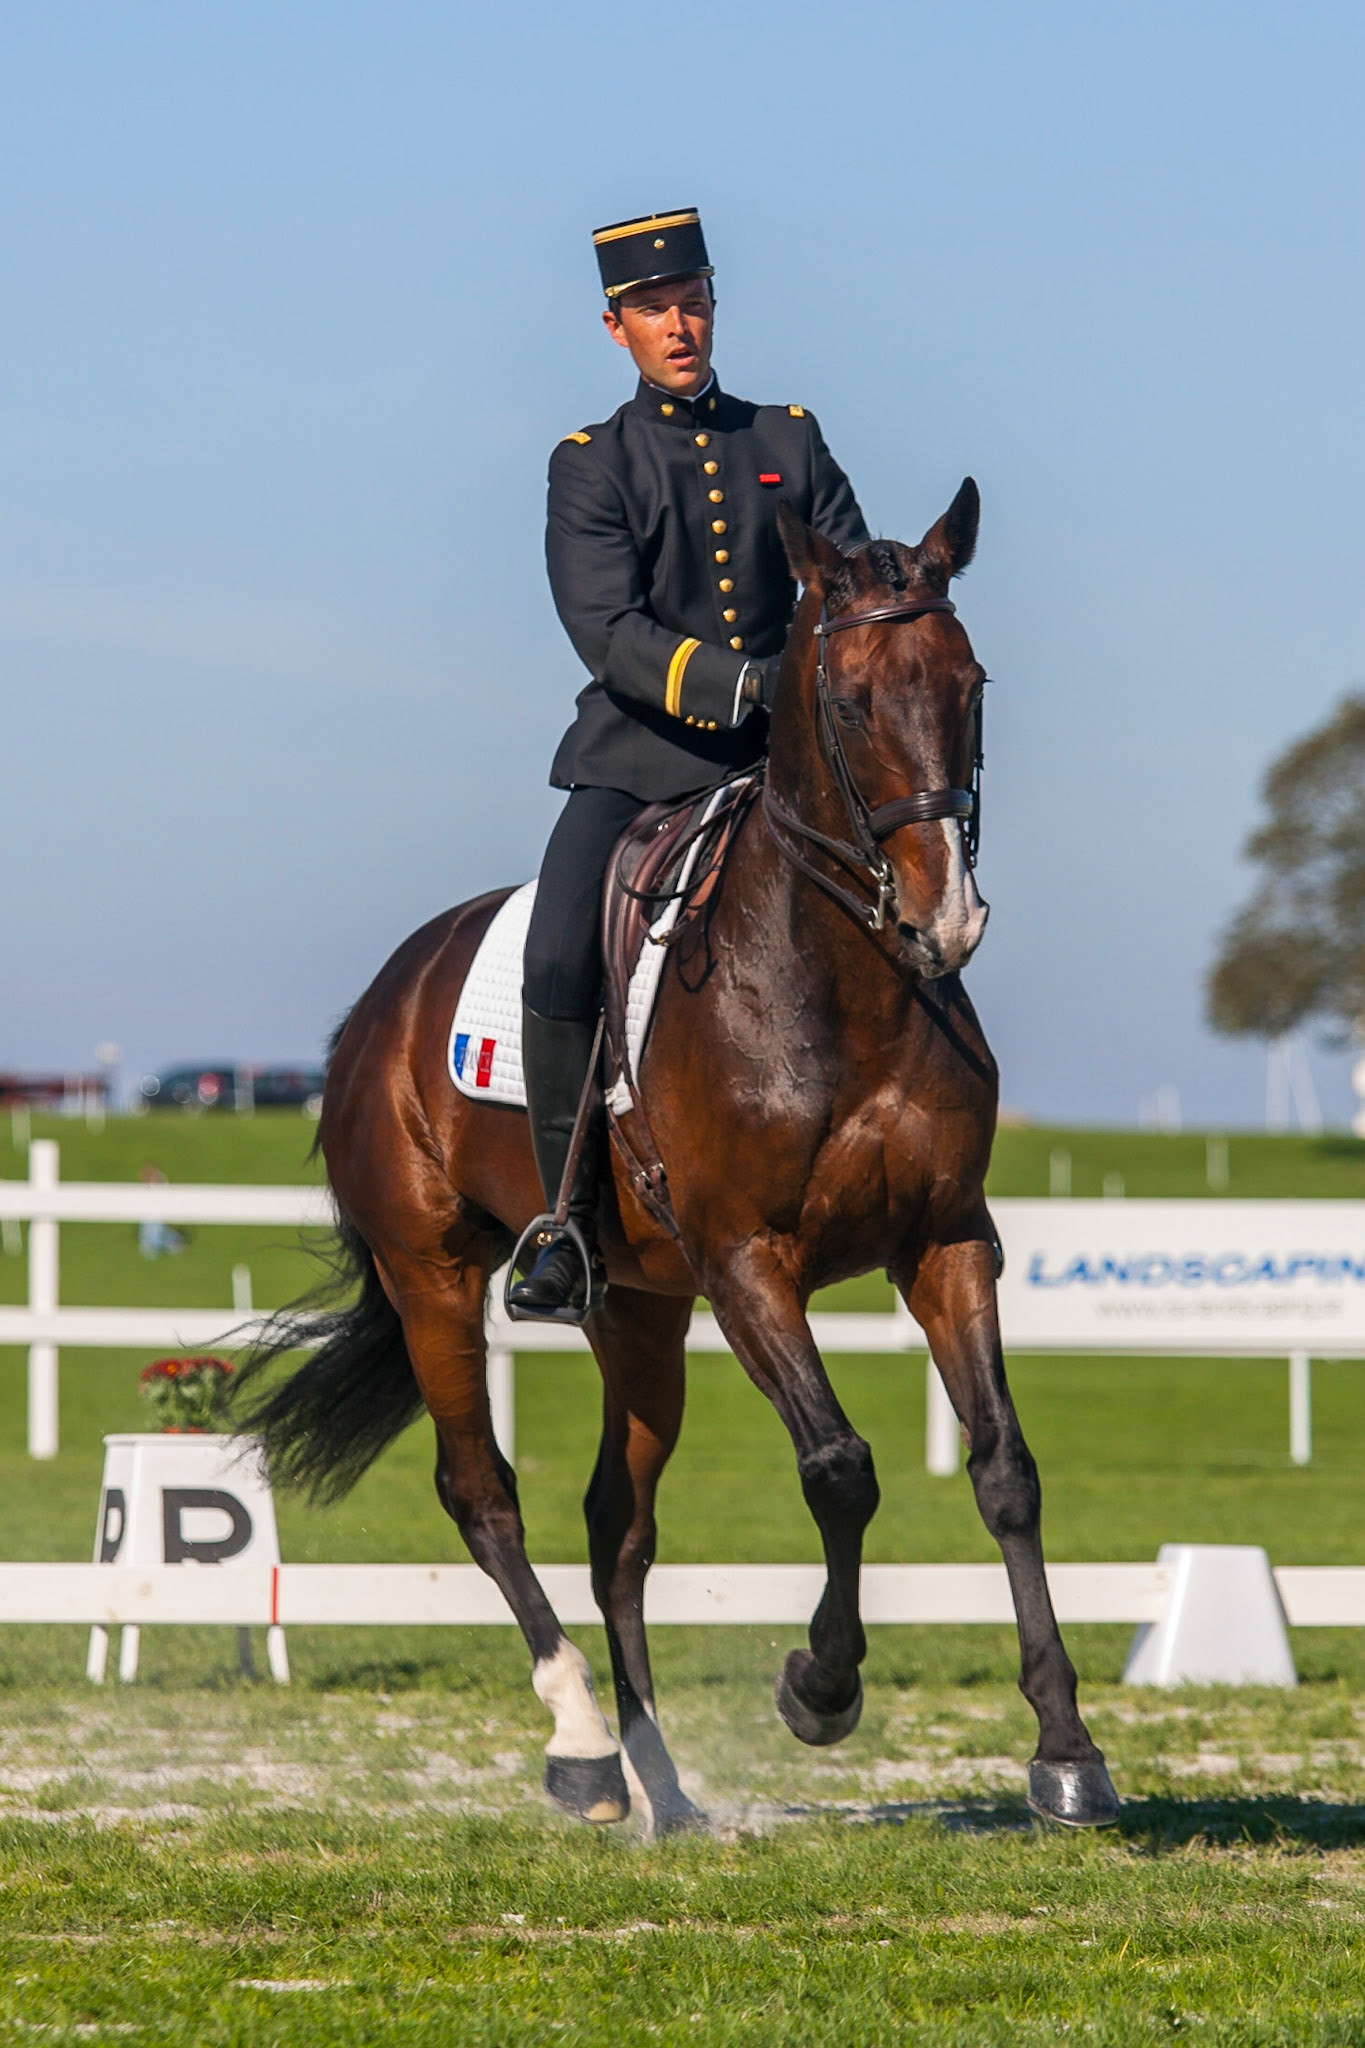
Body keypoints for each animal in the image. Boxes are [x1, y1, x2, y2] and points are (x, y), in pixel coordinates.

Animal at [238, 480, 1119, 1836]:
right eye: (849, 700)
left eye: (970, 685)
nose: (946, 919)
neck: (839, 978)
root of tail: (382, 1003)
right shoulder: (750, 1262)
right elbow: (840, 1467)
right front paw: (819, 1687)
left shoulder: (946, 1241)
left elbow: (1005, 1468)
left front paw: (1068, 1751)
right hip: (434, 1272)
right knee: (483, 1492)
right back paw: (588, 1752)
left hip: (639, 1307)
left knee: (619, 1525)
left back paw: (664, 1784)